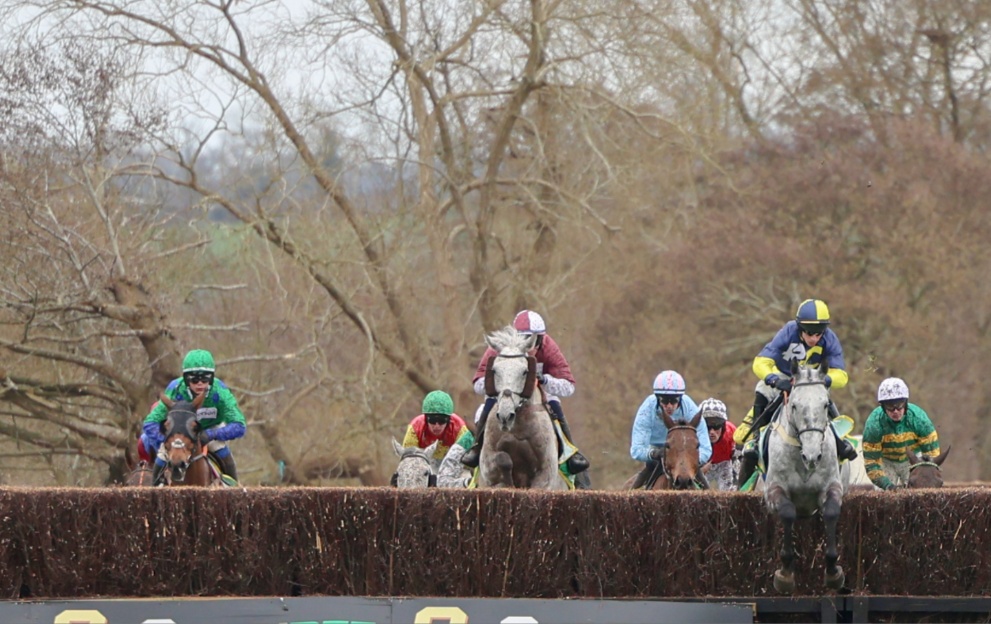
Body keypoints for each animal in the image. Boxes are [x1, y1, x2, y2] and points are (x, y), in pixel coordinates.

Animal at [764, 358, 848, 592]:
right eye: (794, 405)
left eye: (825, 404)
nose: (812, 456)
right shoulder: (773, 490)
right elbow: (787, 512)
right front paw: (785, 573)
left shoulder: (832, 486)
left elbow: (831, 512)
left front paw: (832, 571)